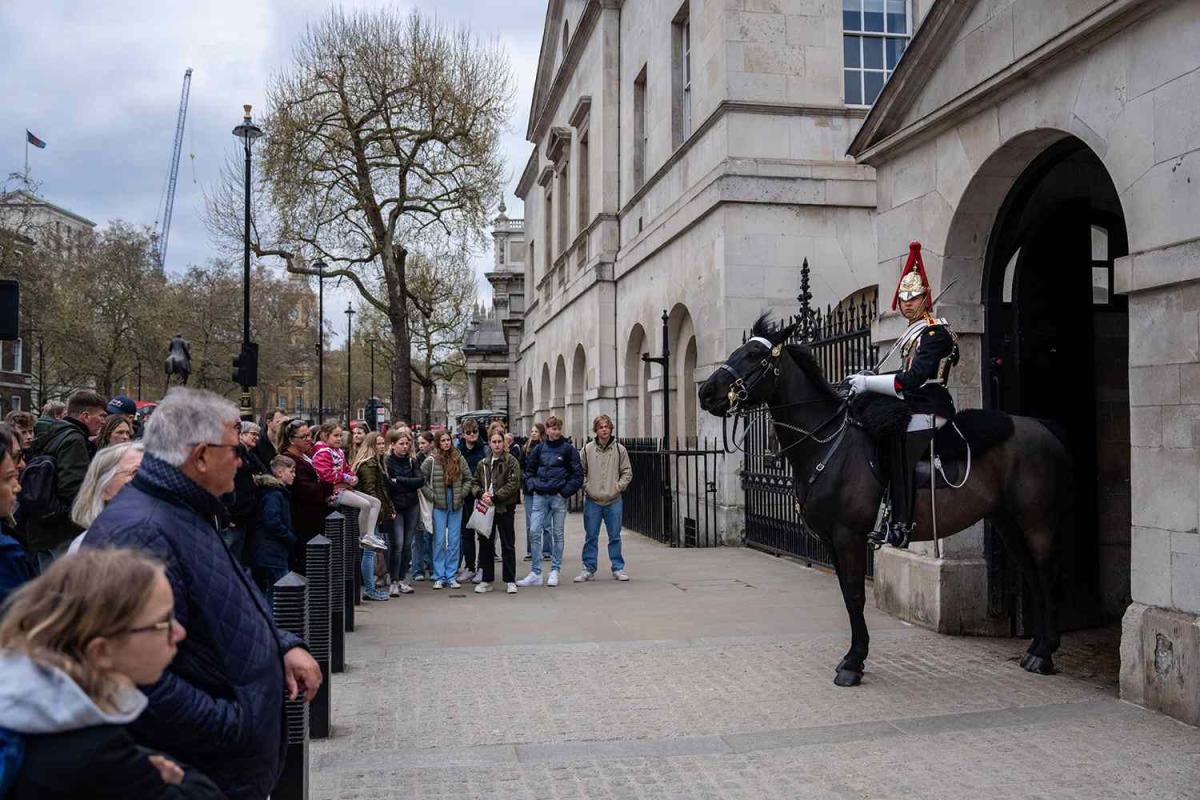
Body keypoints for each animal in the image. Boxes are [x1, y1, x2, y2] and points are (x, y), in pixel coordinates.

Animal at [700, 316, 1075, 690]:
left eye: (753, 355)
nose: (706, 392)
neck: (826, 443)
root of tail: (1043, 427)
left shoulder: (848, 535)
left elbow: (855, 594)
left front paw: (853, 662)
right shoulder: (830, 539)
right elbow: (847, 593)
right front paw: (854, 657)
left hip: (1036, 520)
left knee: (1046, 573)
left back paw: (1045, 654)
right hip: (1007, 521)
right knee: (1031, 573)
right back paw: (1037, 647)